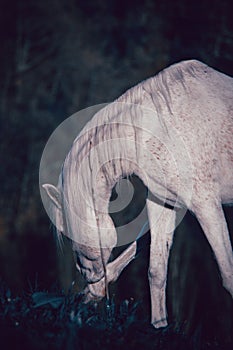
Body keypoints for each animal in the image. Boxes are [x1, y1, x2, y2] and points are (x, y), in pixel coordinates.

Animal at [42, 59, 233, 328]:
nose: (86, 275)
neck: (162, 128)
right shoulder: (165, 203)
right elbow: (156, 270)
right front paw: (158, 327)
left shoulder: (206, 204)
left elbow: (228, 273)